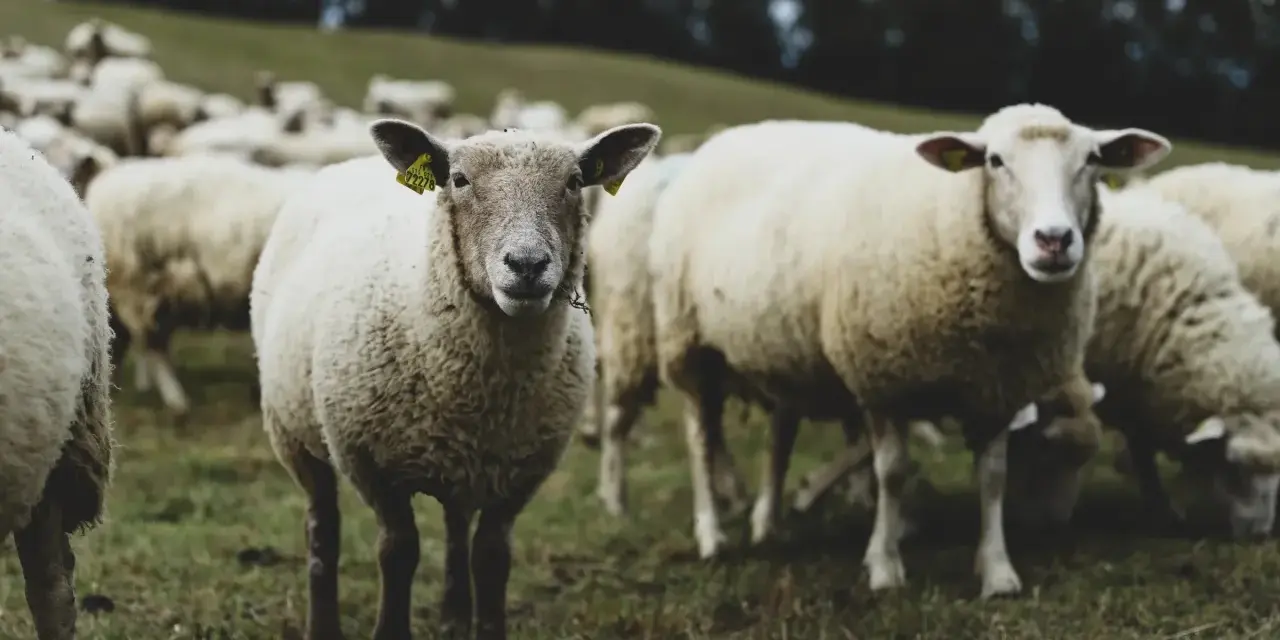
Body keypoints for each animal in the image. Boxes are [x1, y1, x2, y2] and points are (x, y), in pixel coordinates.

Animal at [249, 118, 659, 638]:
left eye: (573, 182)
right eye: (459, 180)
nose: (527, 265)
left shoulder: (521, 471)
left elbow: (491, 557)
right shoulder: (372, 464)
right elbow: (398, 552)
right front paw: (390, 629)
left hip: (463, 462)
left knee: (455, 521)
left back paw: (453, 614)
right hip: (292, 430)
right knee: (322, 526)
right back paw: (322, 624)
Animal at [648, 106, 1170, 596]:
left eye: (1093, 160)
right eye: (996, 161)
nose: (1054, 240)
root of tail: (731, 137)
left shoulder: (998, 390)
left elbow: (993, 476)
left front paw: (997, 571)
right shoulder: (882, 380)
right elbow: (892, 472)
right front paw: (884, 566)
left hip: (783, 354)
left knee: (780, 435)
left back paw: (768, 523)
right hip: (687, 344)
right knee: (700, 436)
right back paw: (712, 535)